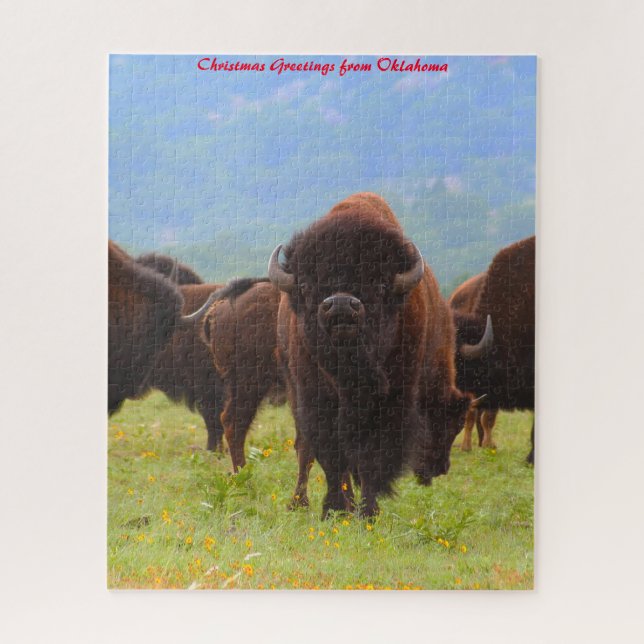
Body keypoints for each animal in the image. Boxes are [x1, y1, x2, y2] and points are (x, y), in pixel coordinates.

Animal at [269, 193, 473, 517]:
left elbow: (369, 459)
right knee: (307, 450)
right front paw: (334, 509)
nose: (341, 304)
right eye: (306, 285)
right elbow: (331, 458)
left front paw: (367, 512)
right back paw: (302, 503)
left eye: (379, 285)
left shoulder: (389, 404)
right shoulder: (316, 401)